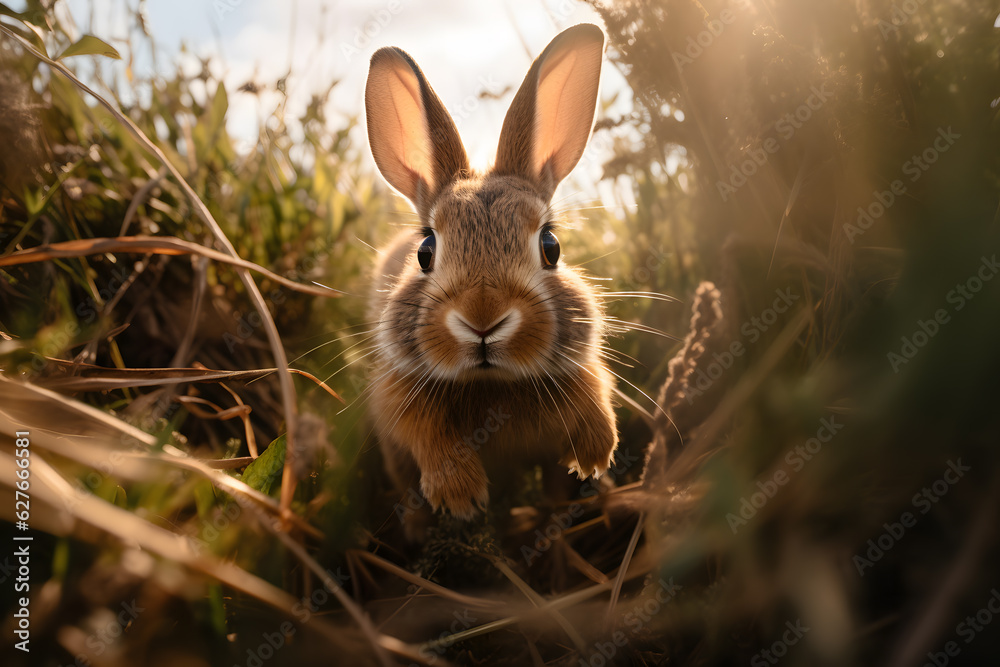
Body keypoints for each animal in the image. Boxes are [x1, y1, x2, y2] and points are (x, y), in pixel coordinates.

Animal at [364, 23, 617, 521]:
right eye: (425, 251)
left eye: (551, 247)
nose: (483, 321)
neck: (491, 384)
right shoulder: (398, 399)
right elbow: (429, 437)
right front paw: (461, 497)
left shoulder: (583, 373)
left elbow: (597, 398)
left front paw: (595, 456)